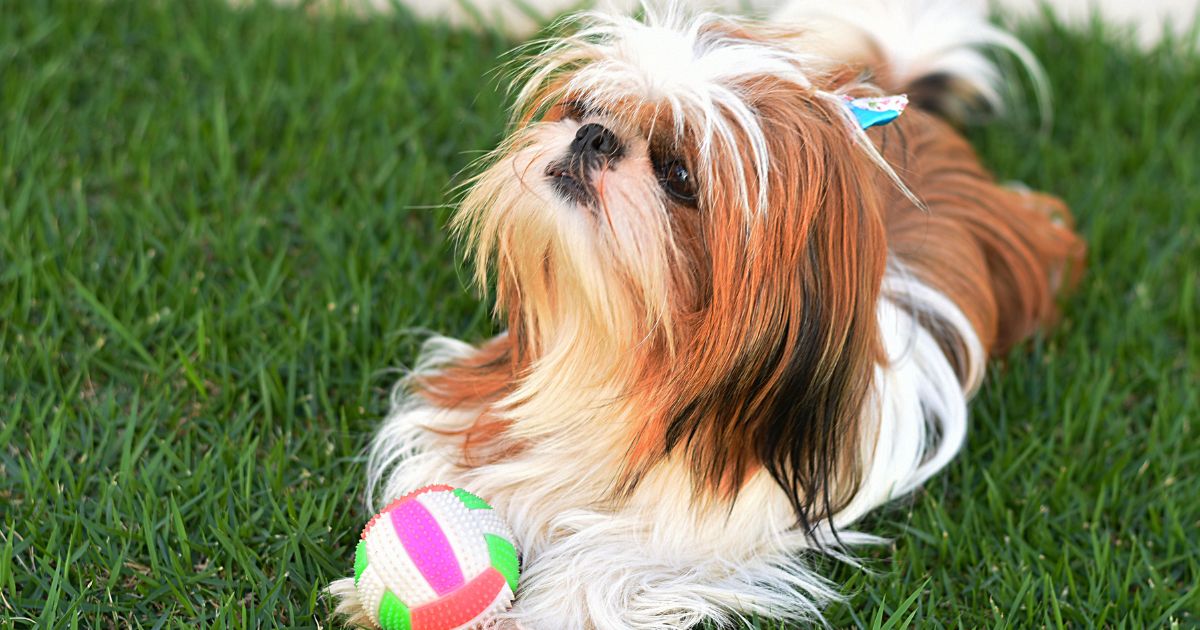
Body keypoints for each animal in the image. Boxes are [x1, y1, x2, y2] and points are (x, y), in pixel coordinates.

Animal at [324, 0, 1084, 624]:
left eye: (680, 176)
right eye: (580, 107)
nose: (594, 137)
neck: (625, 349)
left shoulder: (717, 525)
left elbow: (605, 559)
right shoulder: (481, 401)